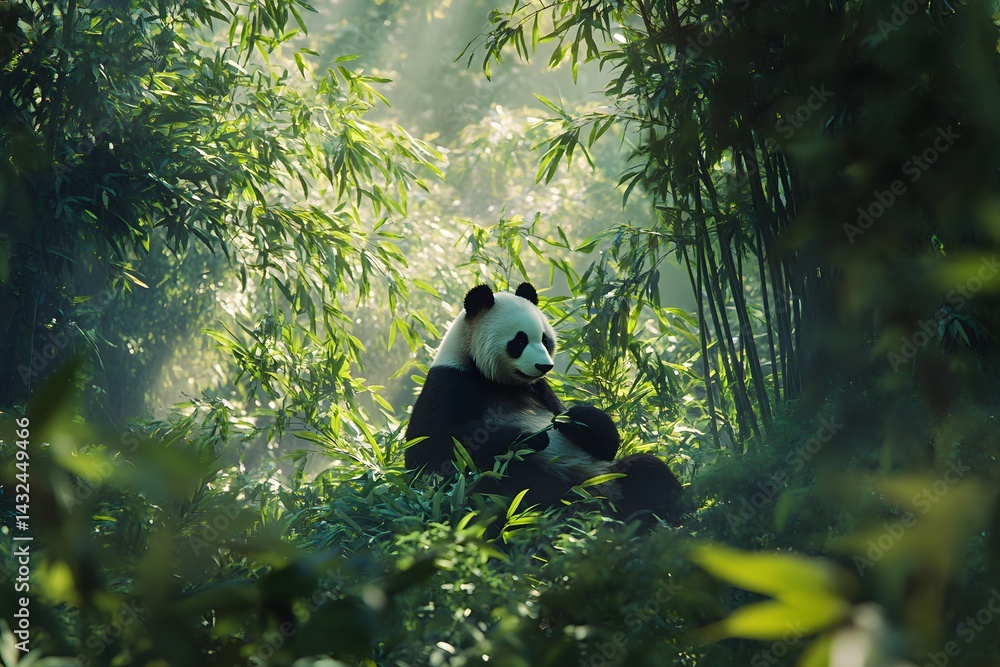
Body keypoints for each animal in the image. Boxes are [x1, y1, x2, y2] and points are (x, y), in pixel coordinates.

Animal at [405, 282, 683, 525]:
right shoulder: (449, 381)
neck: (496, 381)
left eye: (545, 339)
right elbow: (433, 444)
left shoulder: (539, 389)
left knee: (648, 472)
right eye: (519, 341)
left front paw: (577, 418)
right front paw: (531, 437)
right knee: (509, 483)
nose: (544, 366)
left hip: (608, 477)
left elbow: (602, 444)